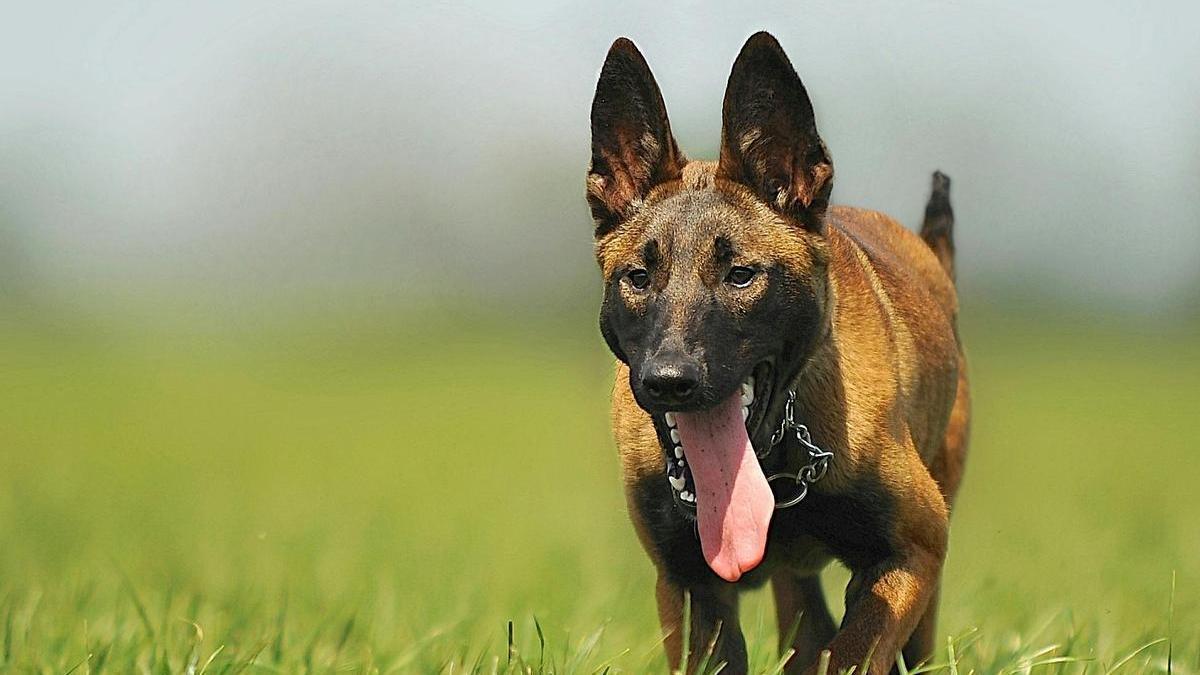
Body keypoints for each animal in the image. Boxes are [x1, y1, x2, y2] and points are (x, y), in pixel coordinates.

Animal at [585, 32, 969, 672]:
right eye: (639, 277)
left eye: (741, 274)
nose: (669, 380)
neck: (774, 456)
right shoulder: (689, 585)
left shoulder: (912, 549)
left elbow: (852, 650)